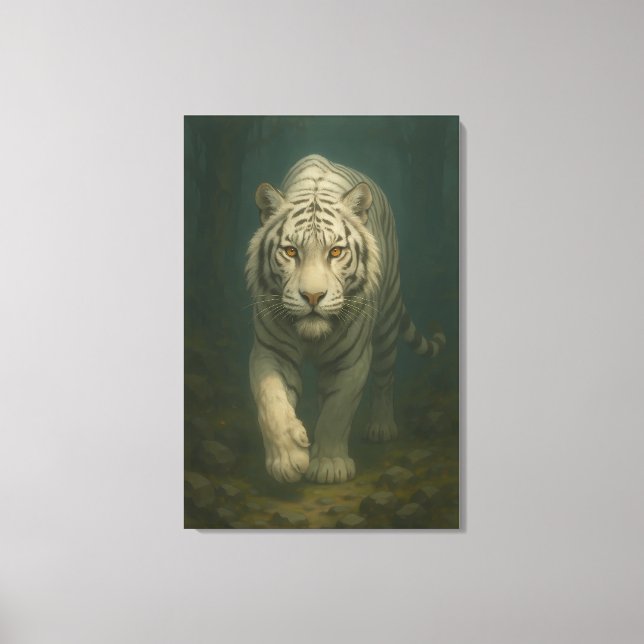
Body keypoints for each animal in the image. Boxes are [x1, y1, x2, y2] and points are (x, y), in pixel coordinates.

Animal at [245, 154, 445, 484]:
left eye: (336, 251)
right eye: (291, 251)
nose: (313, 296)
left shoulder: (353, 359)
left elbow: (337, 411)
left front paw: (329, 465)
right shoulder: (270, 350)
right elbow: (271, 400)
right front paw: (288, 460)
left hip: (387, 322)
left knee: (385, 378)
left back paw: (381, 427)